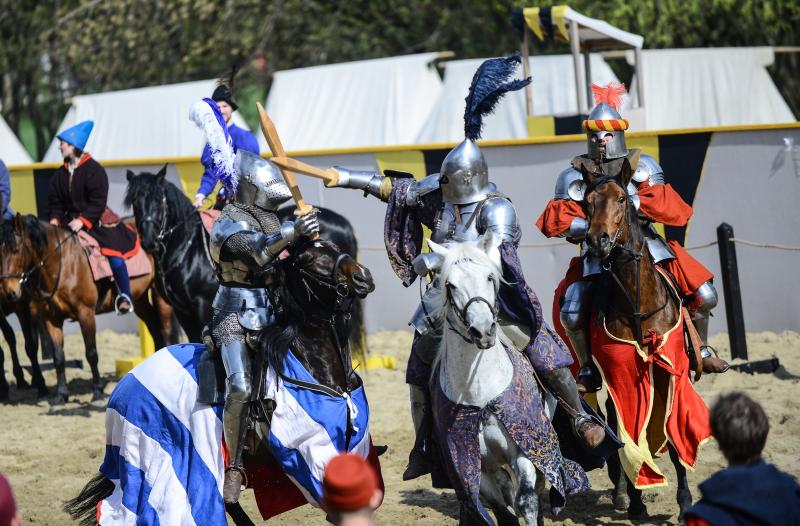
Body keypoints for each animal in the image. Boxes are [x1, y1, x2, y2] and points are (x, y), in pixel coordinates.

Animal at [0, 214, 174, 404]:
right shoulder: (50, 318)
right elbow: (58, 356)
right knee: (155, 328)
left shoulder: (85, 313)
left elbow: (91, 353)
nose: (9, 292)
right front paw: (61, 394)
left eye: (16, 250)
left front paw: (97, 390)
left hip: (159, 294)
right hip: (140, 299)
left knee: (164, 329)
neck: (63, 265)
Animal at [65, 240, 378, 526]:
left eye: (333, 246)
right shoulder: (311, 451)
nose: (362, 276)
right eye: (308, 260)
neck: (311, 362)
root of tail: (125, 384)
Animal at [125, 167, 368, 360]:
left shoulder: (201, 306)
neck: (187, 247)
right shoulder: (181, 310)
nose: (148, 241)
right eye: (135, 202)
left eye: (159, 201)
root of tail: (345, 224)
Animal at [424, 236, 588, 526]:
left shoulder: (525, 450)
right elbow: (502, 510)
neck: (479, 391)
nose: (483, 330)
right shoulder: (472, 468)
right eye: (450, 285)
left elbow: (526, 501)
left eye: (490, 277)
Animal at [580, 160, 708, 520]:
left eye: (622, 199)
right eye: (587, 203)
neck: (638, 305)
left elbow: (673, 433)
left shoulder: (669, 369)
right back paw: (622, 492)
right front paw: (636, 500)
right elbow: (627, 432)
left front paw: (685, 501)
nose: (597, 241)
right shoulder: (619, 372)